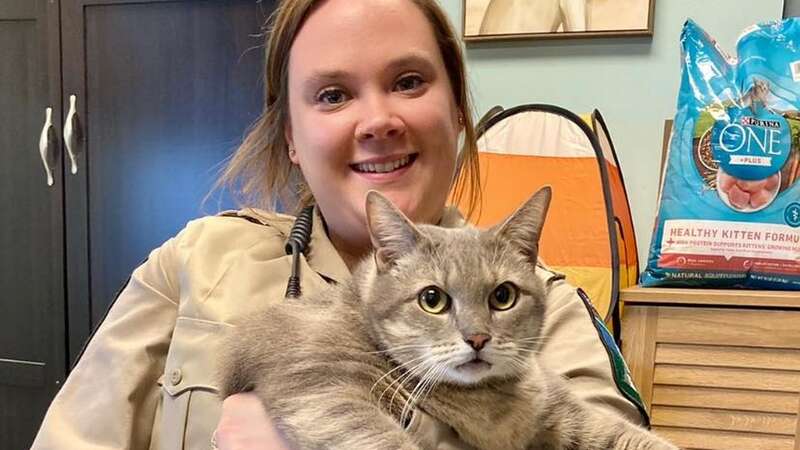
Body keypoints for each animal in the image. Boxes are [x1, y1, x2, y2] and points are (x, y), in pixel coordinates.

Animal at [217, 188, 676, 448]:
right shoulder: (322, 391)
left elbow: (632, 436)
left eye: (503, 296)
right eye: (432, 299)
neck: (489, 404)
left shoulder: (566, 410)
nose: (477, 338)